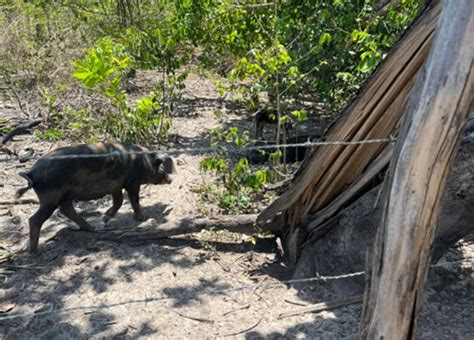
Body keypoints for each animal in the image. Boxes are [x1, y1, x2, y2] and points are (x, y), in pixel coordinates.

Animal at [16, 143, 177, 252]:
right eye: (160, 167)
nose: (171, 180)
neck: (144, 162)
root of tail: (31, 172)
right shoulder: (132, 183)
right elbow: (134, 200)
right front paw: (144, 218)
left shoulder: (116, 186)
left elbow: (118, 201)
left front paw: (105, 218)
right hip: (50, 198)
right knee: (35, 219)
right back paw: (34, 251)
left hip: (64, 195)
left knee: (66, 210)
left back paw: (91, 228)